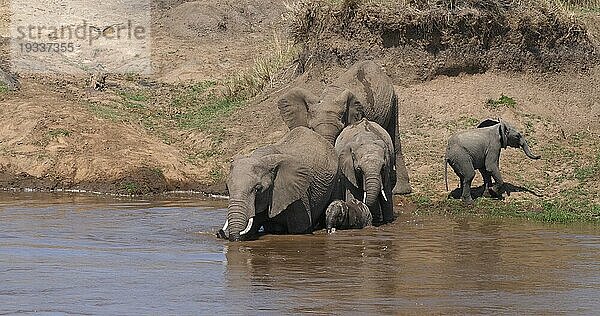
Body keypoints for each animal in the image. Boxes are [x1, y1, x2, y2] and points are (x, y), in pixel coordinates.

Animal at [278, 60, 410, 194]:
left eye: (339, 132)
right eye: (312, 129)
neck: (330, 98)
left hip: (393, 101)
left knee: (394, 137)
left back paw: (400, 190)